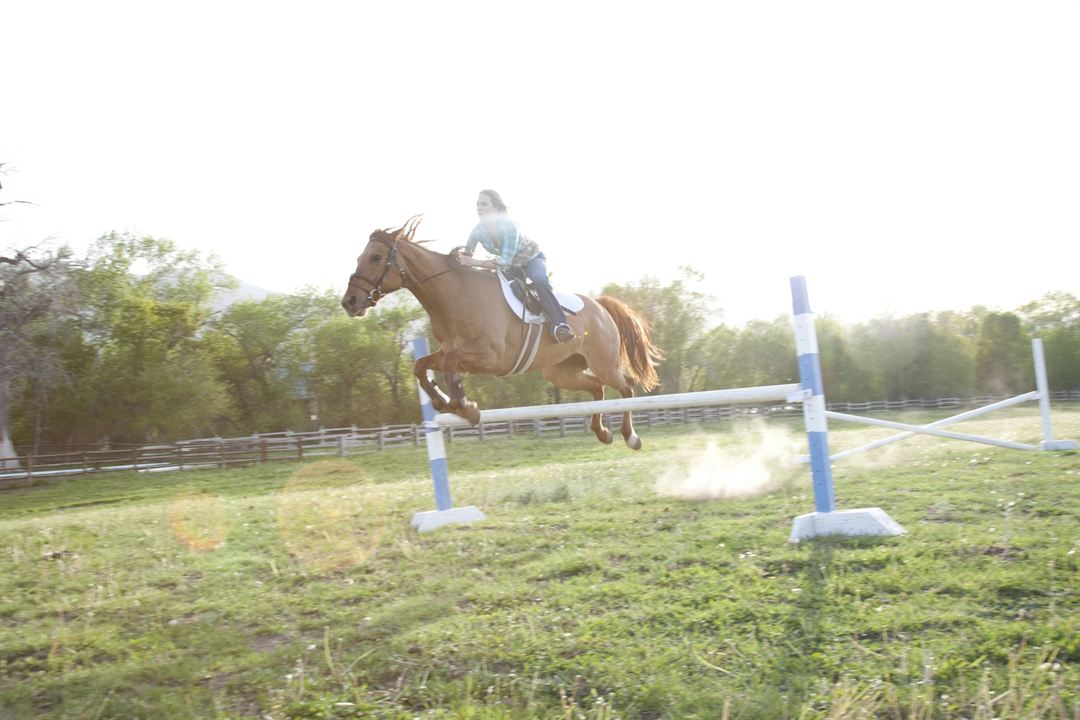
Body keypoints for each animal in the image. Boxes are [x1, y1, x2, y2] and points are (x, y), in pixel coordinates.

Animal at [341, 215, 660, 451]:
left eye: (376, 257)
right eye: (360, 257)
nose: (349, 302)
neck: (453, 295)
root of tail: (600, 305)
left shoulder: (491, 357)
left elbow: (449, 365)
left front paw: (463, 404)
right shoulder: (451, 349)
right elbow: (421, 365)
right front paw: (446, 401)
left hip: (604, 362)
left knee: (626, 388)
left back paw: (630, 436)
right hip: (560, 371)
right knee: (597, 387)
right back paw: (602, 432)